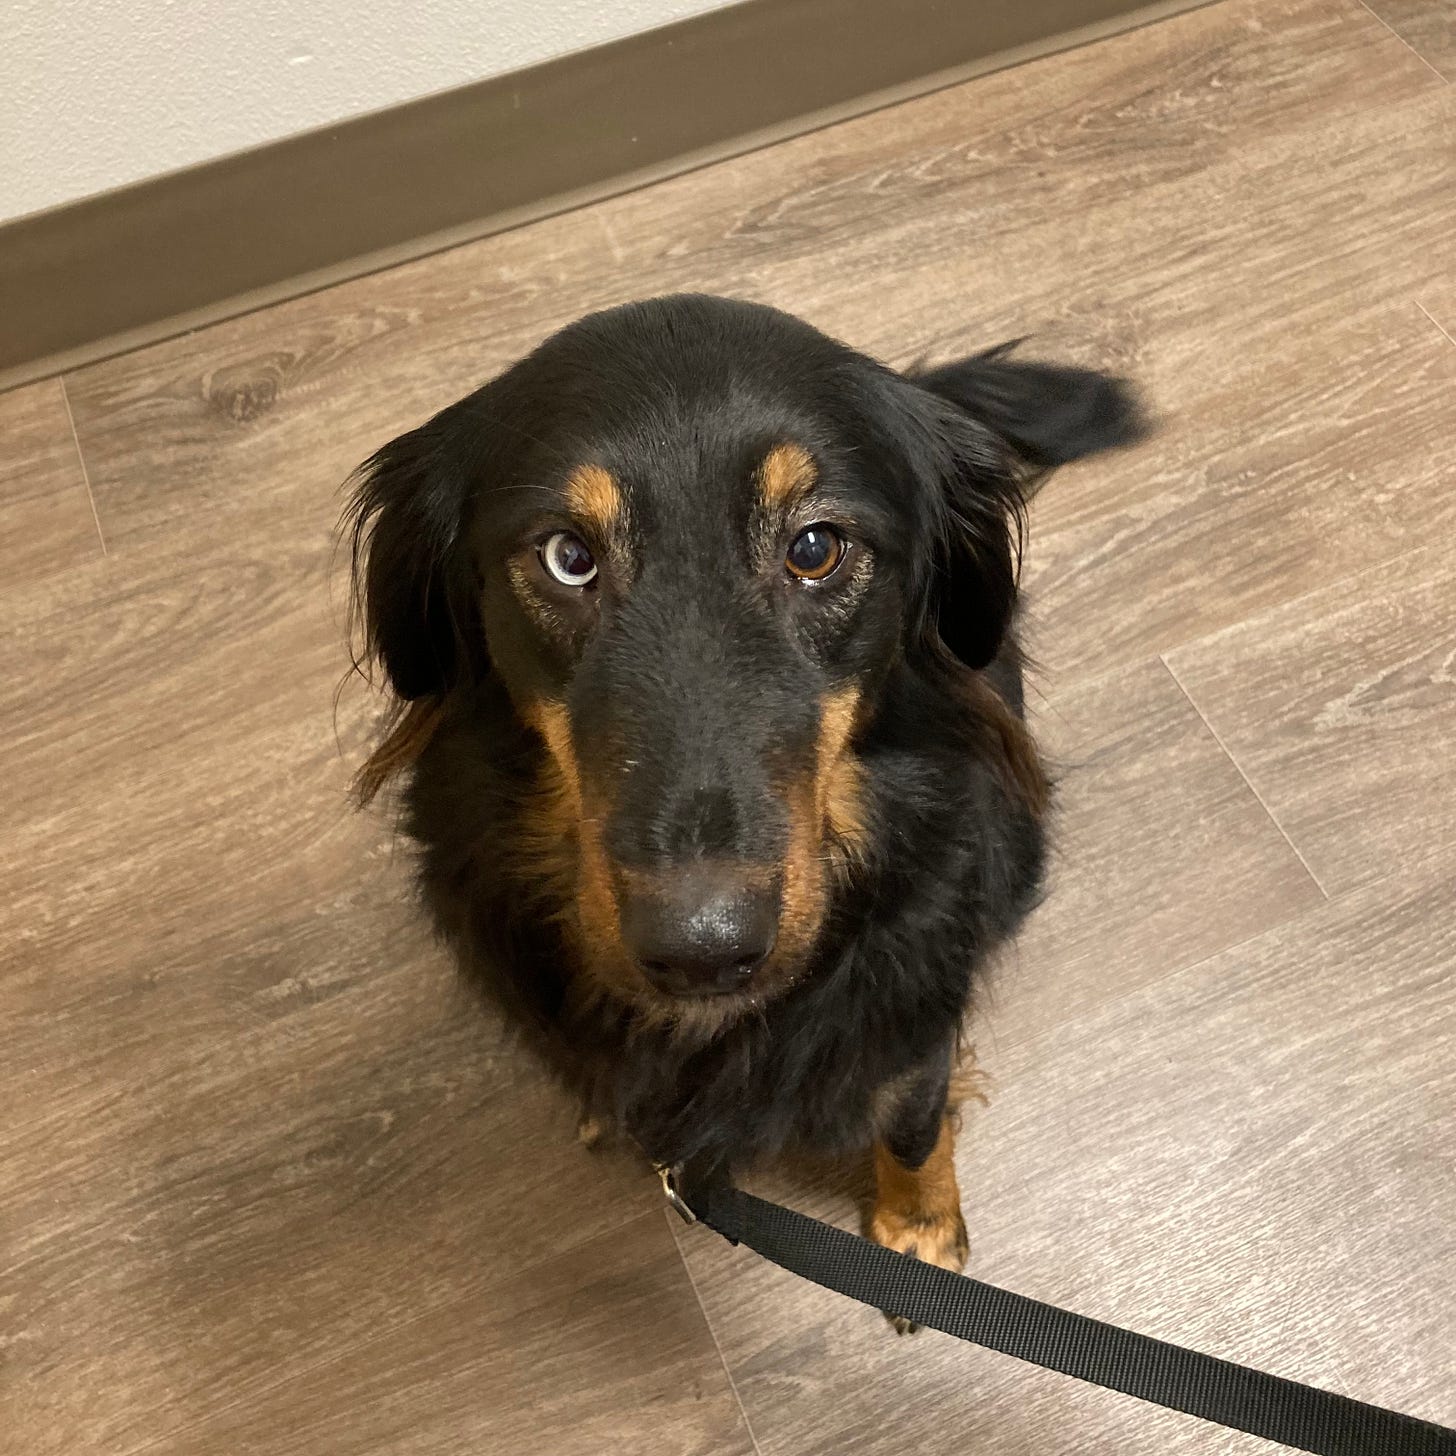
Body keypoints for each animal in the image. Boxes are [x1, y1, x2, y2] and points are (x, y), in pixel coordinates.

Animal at [343, 292, 1147, 1298]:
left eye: (815, 549)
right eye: (567, 557)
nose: (702, 949)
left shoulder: (916, 1018)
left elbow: (912, 1124)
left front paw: (917, 1228)